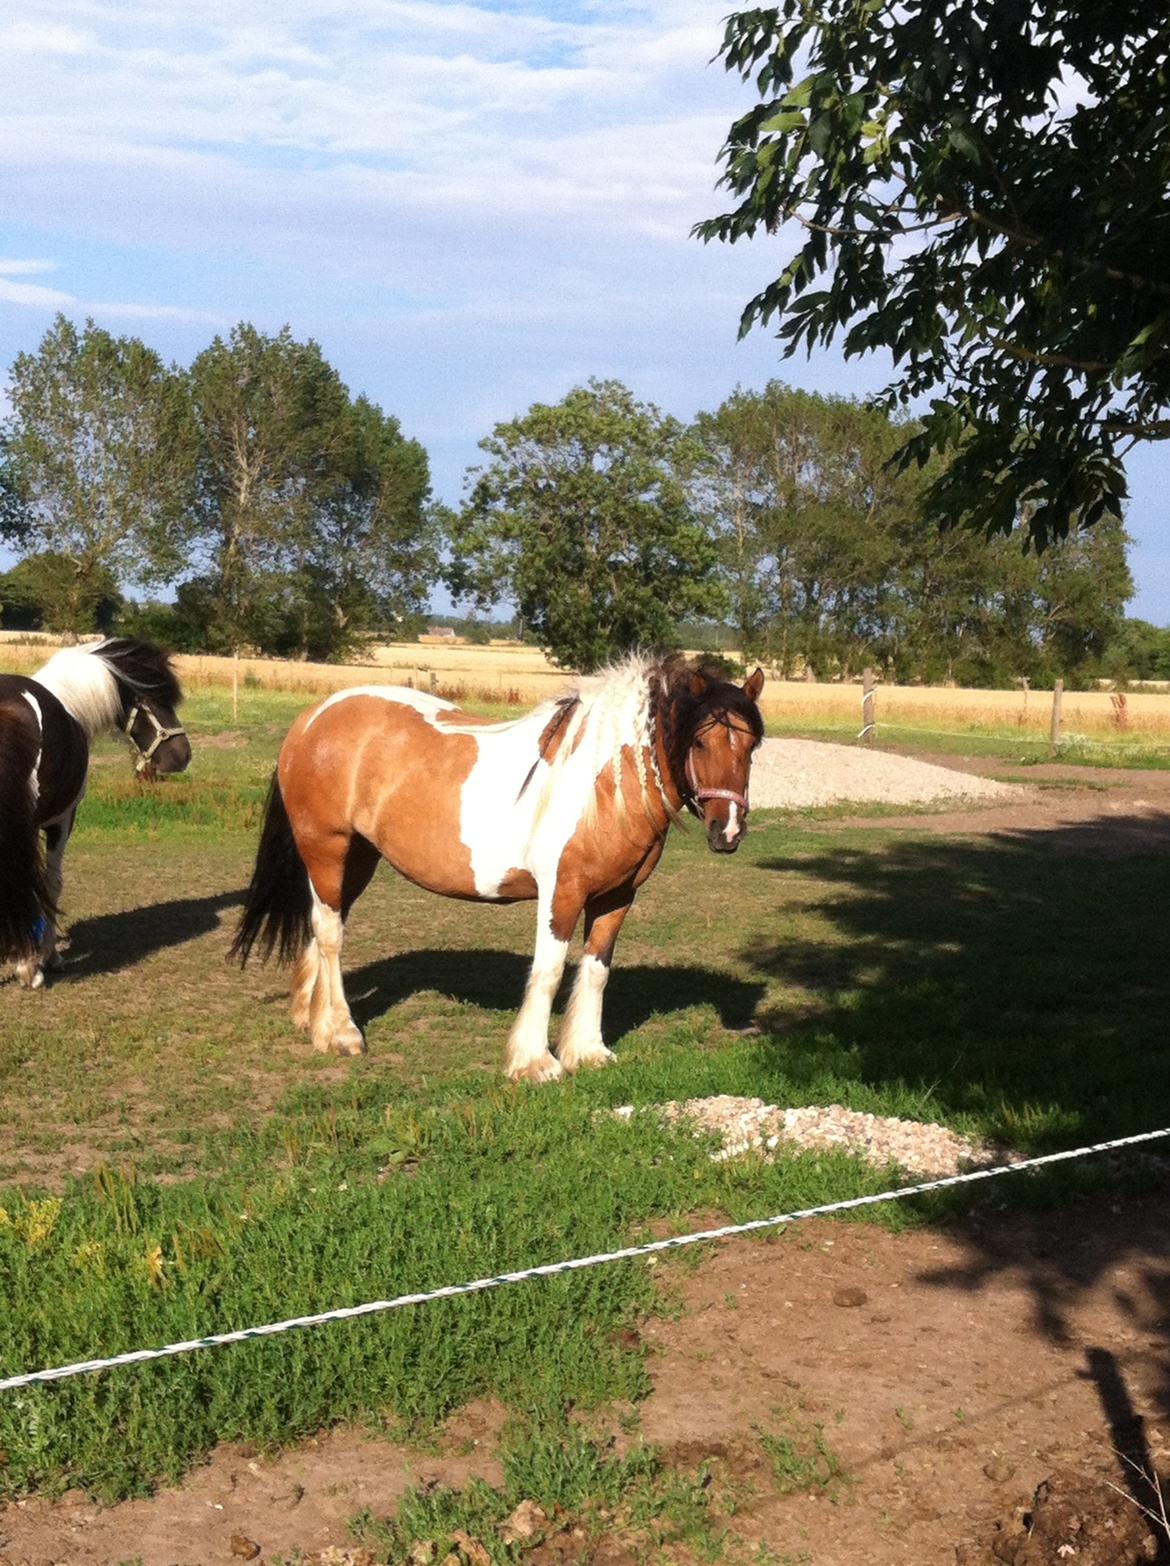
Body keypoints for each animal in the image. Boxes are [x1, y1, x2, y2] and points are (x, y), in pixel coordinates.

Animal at [0, 632, 190, 977]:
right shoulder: (61, 821)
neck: (69, 704)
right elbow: (50, 883)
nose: (182, 755)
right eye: (153, 700)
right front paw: (45, 957)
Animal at [234, 654, 767, 1083]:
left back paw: (311, 1019)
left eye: (751, 747)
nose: (728, 831)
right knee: (330, 935)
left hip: (356, 859)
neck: (602, 787)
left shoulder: (616, 898)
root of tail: (312, 720)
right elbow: (549, 973)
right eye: (699, 743)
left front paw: (587, 1052)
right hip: (326, 849)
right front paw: (534, 1063)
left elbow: (596, 972)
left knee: (324, 924)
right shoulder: (561, 894)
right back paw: (340, 1033)